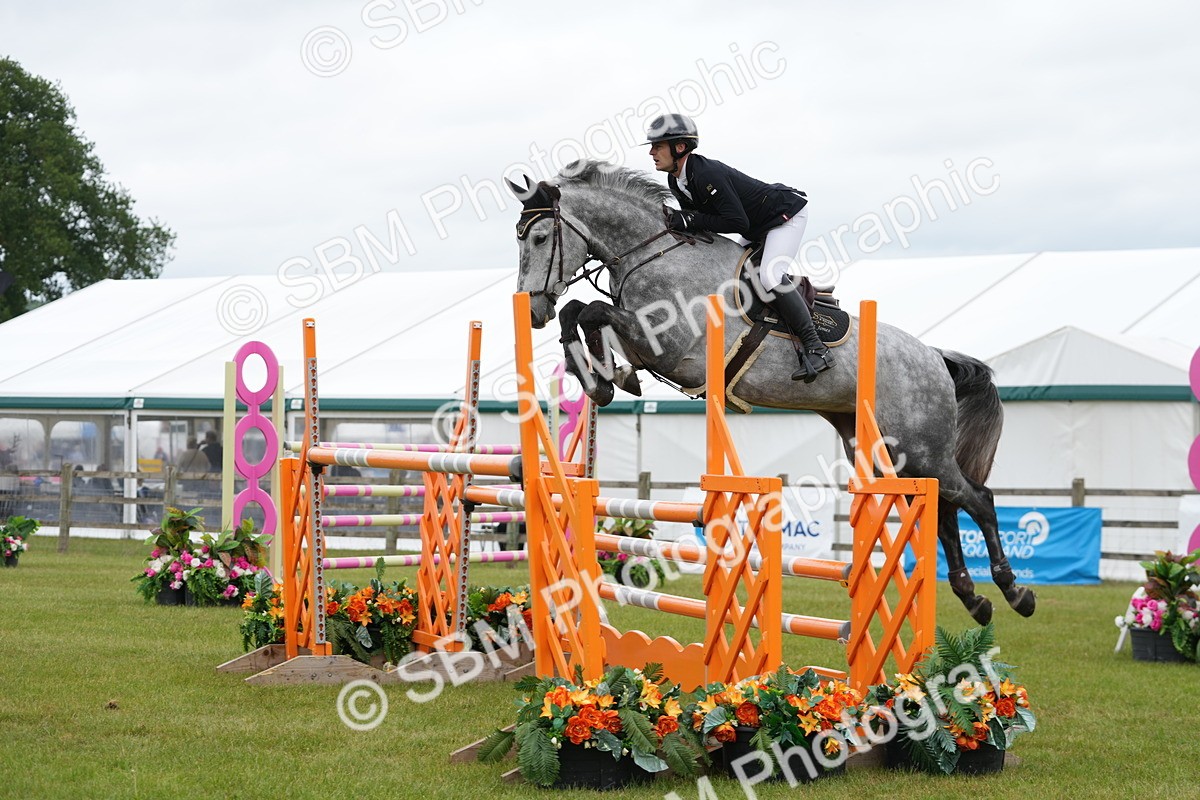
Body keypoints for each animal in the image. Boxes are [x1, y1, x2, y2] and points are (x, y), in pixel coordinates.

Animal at [505, 160, 1035, 626]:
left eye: (539, 237)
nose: (531, 311)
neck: (651, 254)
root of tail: (935, 357)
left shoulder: (673, 348)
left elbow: (591, 310)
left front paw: (604, 379)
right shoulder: (644, 341)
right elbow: (580, 311)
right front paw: (605, 378)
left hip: (921, 447)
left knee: (977, 499)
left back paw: (1013, 592)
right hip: (886, 451)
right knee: (943, 510)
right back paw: (973, 598)